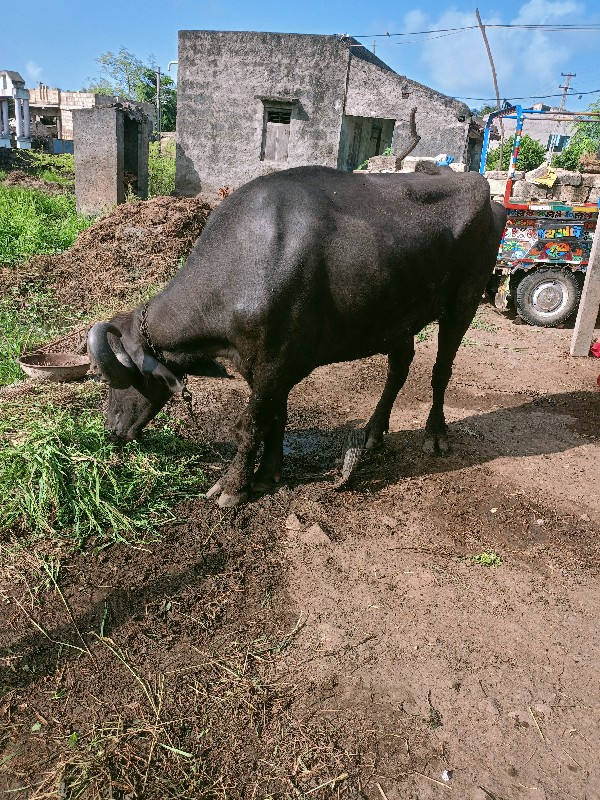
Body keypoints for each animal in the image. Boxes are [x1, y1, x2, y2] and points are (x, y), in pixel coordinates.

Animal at [88, 166, 506, 510]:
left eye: (122, 380)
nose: (111, 431)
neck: (241, 268)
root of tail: (488, 197)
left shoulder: (276, 365)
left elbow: (249, 426)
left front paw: (232, 488)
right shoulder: (264, 367)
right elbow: (277, 418)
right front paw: (267, 474)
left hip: (463, 305)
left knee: (441, 371)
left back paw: (435, 434)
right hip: (397, 316)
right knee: (399, 368)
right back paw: (373, 432)